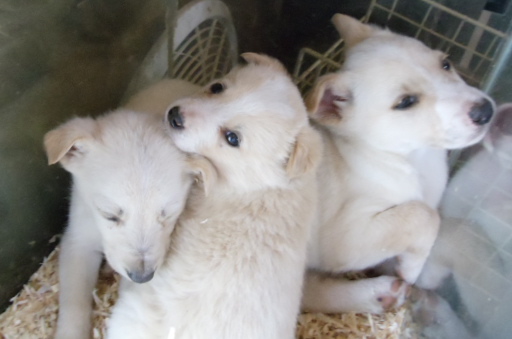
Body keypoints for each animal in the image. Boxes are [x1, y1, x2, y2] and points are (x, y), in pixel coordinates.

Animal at [302, 14, 494, 314]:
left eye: (446, 63)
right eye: (406, 102)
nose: (486, 111)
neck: (414, 161)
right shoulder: (346, 237)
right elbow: (424, 216)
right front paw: (411, 269)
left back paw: (381, 294)